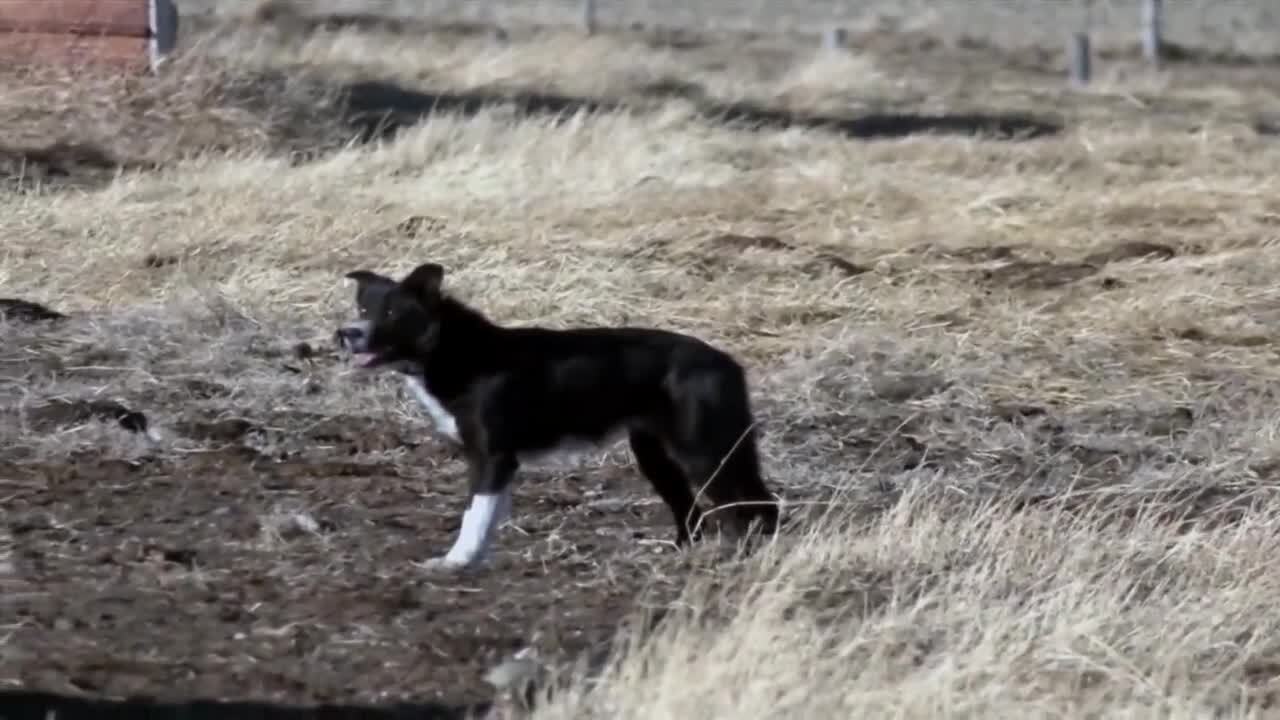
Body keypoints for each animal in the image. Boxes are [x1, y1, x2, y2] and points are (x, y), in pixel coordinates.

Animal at [332, 260, 778, 568]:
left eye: (392, 314)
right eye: (363, 308)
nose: (346, 333)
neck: (450, 350)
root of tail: (727, 363)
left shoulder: (492, 457)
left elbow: (473, 515)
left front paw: (454, 562)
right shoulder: (500, 463)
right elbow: (490, 516)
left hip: (705, 453)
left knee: (751, 508)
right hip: (657, 456)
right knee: (694, 514)